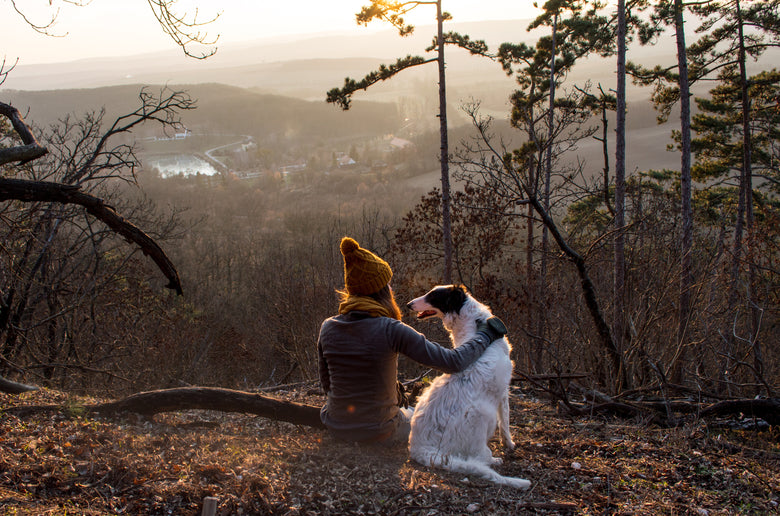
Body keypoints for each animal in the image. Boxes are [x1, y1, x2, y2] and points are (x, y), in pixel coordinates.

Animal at [406, 286, 528, 492]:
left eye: (433, 295)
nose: (408, 304)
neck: (476, 324)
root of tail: (420, 449)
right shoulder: (504, 391)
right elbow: (506, 423)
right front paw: (509, 444)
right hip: (483, 416)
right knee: (480, 457)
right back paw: (495, 459)